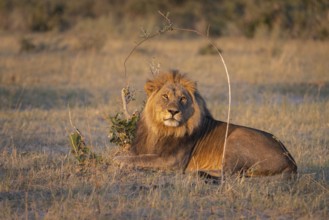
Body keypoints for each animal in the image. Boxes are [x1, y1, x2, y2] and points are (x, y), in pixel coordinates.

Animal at [114, 71, 296, 178]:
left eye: (183, 99)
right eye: (165, 96)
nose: (173, 111)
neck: (161, 130)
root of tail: (291, 161)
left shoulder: (171, 161)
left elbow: (133, 159)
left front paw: (118, 161)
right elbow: (130, 155)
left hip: (235, 138)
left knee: (229, 173)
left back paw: (197, 171)